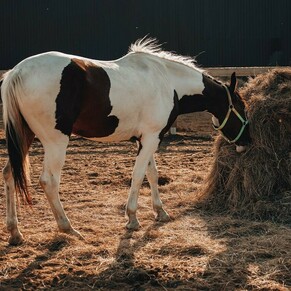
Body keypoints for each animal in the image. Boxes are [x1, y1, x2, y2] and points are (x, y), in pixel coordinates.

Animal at [0, 37, 251, 245]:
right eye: (242, 107)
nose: (246, 142)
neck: (167, 82)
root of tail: (17, 72)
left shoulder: (145, 139)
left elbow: (152, 174)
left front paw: (160, 212)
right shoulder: (151, 138)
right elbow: (138, 175)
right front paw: (132, 218)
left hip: (24, 137)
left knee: (9, 173)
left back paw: (15, 232)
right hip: (55, 142)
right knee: (49, 181)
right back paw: (68, 228)